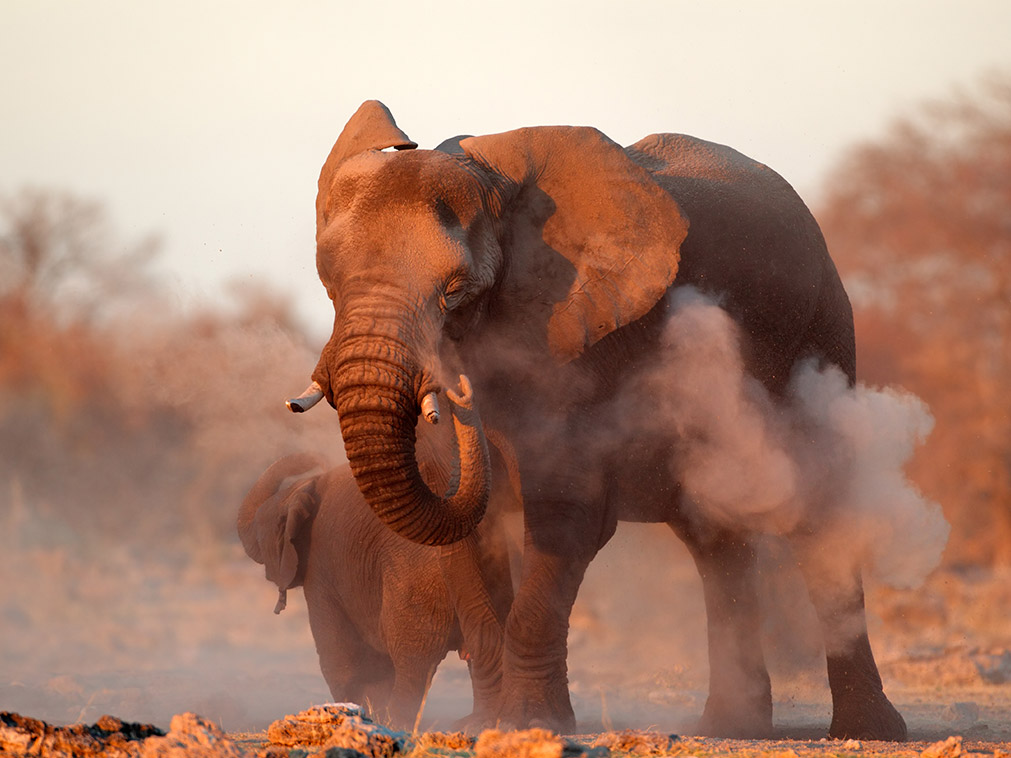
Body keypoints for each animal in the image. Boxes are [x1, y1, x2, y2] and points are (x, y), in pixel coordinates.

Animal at [237, 430, 517, 727]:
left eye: (260, 533)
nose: (318, 458)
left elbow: (339, 655)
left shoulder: (320, 567)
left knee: (411, 659)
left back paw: (397, 722)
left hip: (414, 585)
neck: (301, 490)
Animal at [293, 101, 909, 743]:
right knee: (714, 538)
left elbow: (568, 518)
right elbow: (467, 534)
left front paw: (531, 722)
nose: (458, 388)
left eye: (456, 292)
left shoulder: (583, 340)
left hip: (822, 333)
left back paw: (868, 731)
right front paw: (486, 723)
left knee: (822, 518)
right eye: (329, 282)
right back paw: (730, 725)